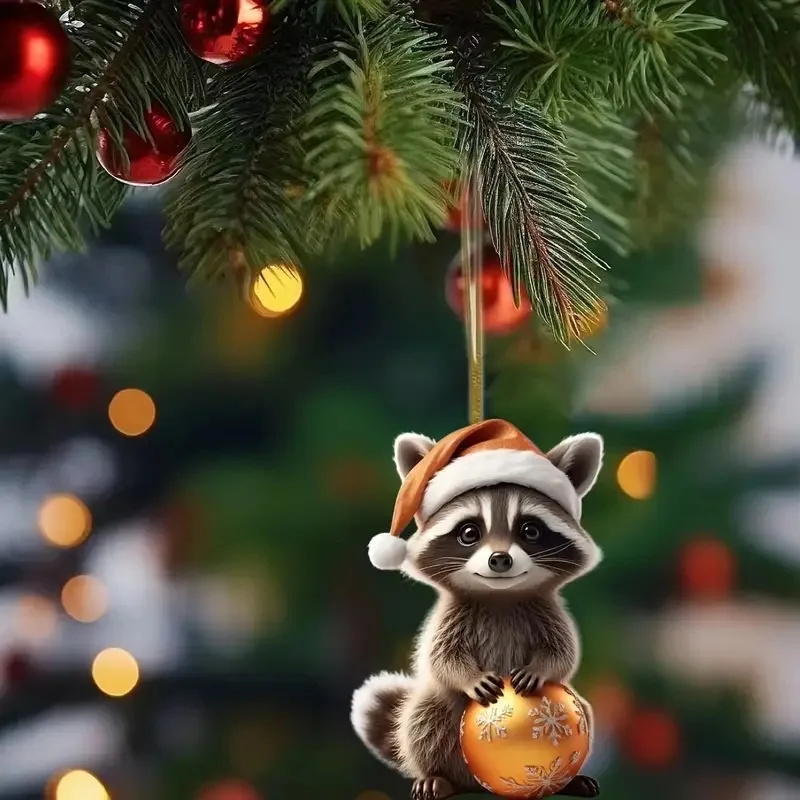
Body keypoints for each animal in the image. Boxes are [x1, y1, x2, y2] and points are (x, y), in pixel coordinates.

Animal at [351, 421, 604, 800]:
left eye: (530, 530)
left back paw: (569, 781)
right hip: (437, 719)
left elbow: (562, 653)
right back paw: (436, 775)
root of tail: (475, 783)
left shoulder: (547, 612)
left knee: (584, 709)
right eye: (469, 532)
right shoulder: (452, 618)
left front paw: (541, 668)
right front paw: (468, 677)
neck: (499, 597)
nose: (500, 559)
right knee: (423, 719)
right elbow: (443, 657)